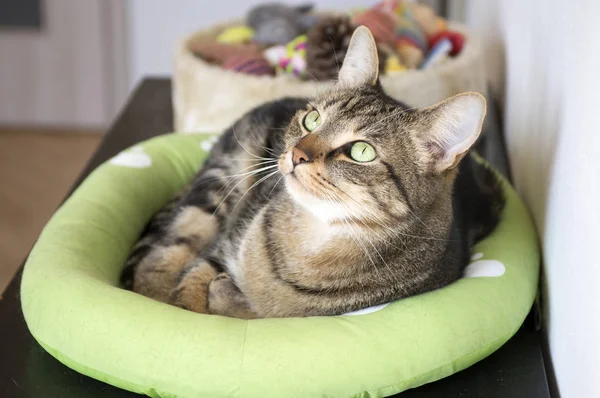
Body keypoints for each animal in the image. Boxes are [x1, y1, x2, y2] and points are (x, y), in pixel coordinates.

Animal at [122, 26, 506, 318]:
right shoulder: (222, 245)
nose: (296, 154)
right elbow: (193, 282)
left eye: (361, 151)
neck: (314, 235)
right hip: (217, 189)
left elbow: (260, 311)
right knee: (162, 255)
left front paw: (229, 299)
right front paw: (187, 307)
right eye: (313, 119)